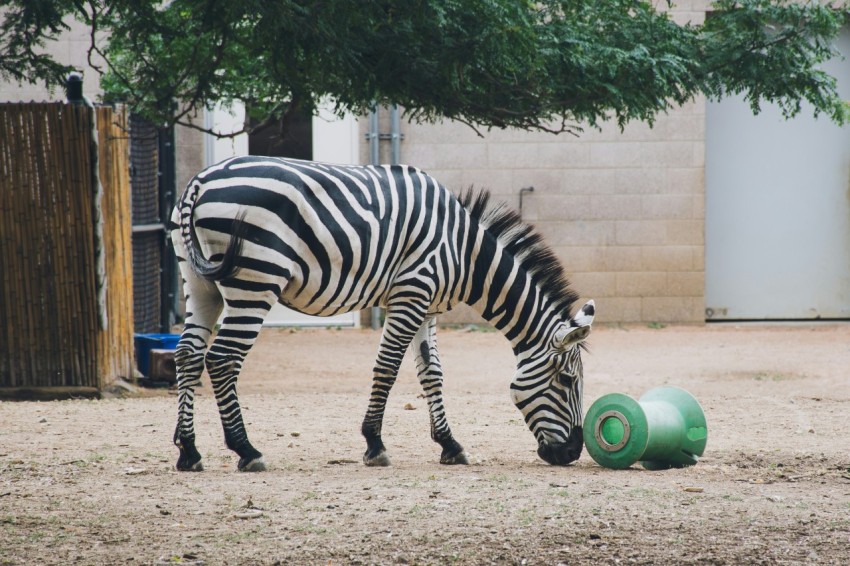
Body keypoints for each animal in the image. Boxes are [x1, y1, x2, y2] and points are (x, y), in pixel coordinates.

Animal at [170, 155, 595, 472]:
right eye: (568, 381)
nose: (572, 453)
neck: (465, 253)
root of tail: (199, 182)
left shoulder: (426, 306)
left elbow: (432, 372)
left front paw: (449, 444)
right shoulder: (411, 293)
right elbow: (388, 367)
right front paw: (374, 444)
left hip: (200, 283)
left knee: (188, 354)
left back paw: (189, 450)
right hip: (255, 280)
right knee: (223, 358)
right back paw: (246, 449)